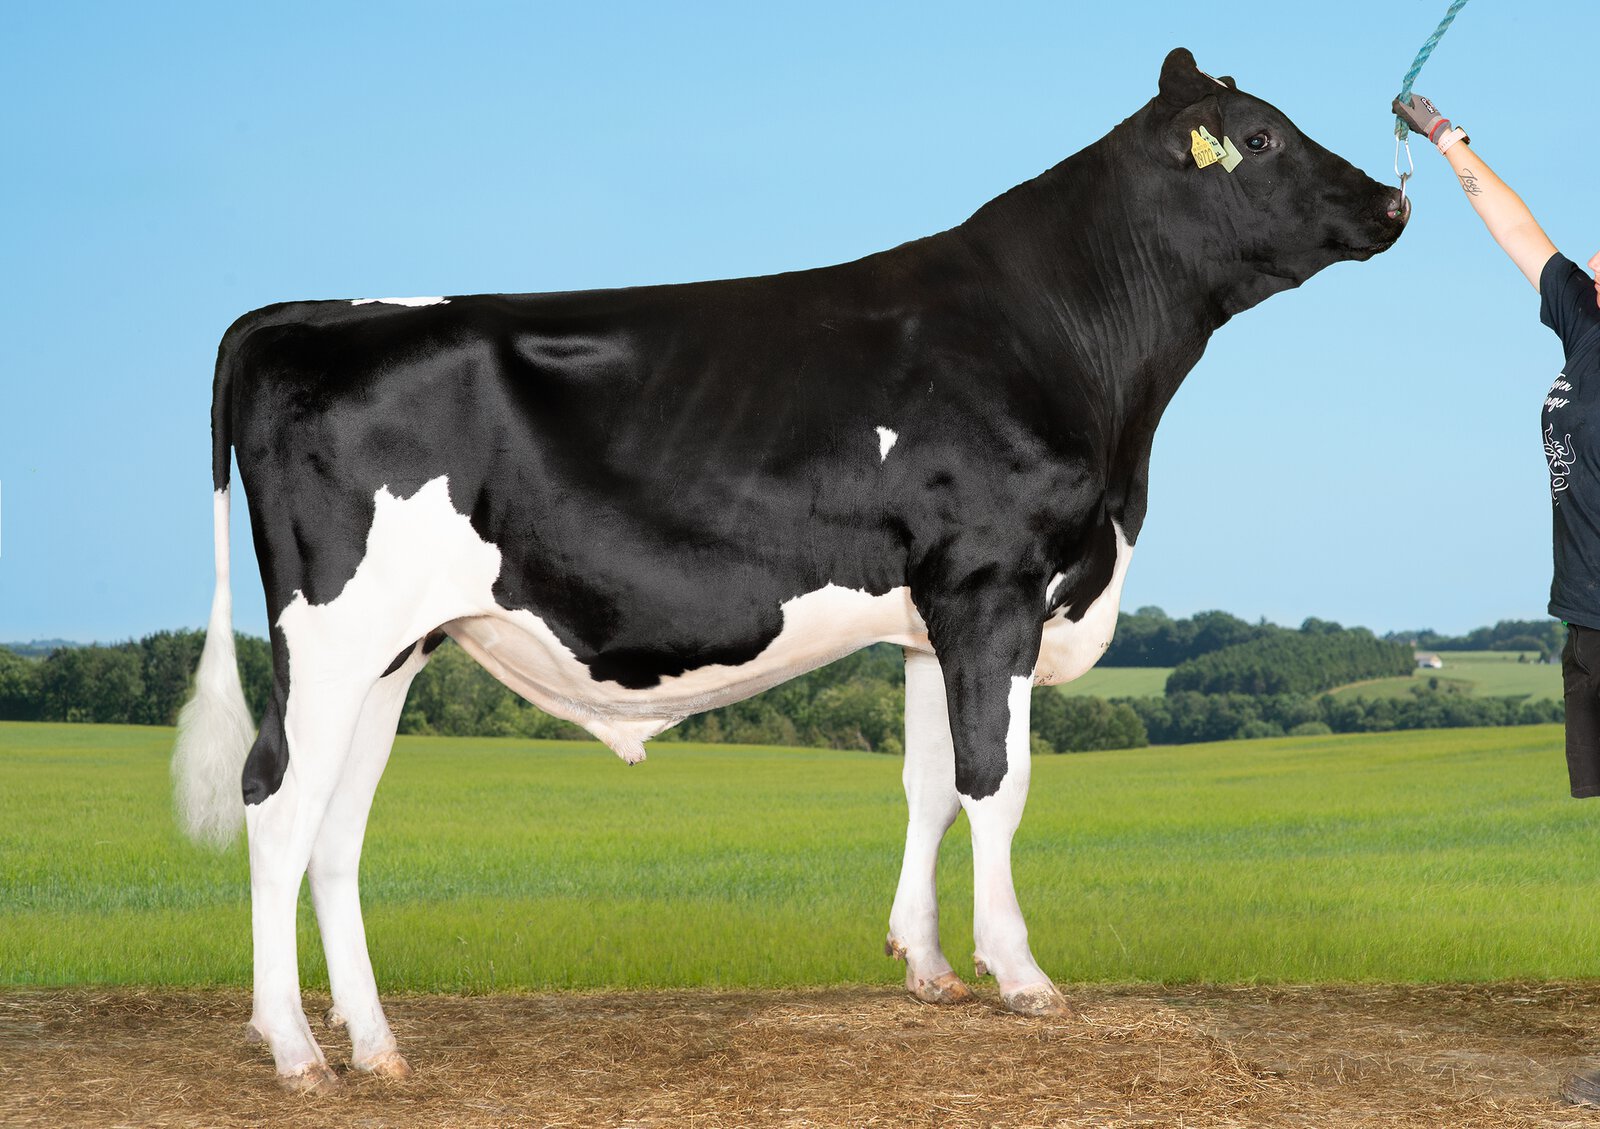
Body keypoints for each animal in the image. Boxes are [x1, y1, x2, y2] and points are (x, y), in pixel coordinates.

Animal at [173, 48, 1407, 1089]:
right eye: (1260, 137)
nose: (1394, 201)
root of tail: (313, 313)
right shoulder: (991, 586)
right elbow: (995, 783)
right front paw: (1021, 976)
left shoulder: (927, 618)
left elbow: (927, 784)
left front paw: (927, 967)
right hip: (331, 629)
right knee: (275, 797)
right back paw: (294, 1049)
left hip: (396, 646)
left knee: (337, 824)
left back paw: (377, 1045)